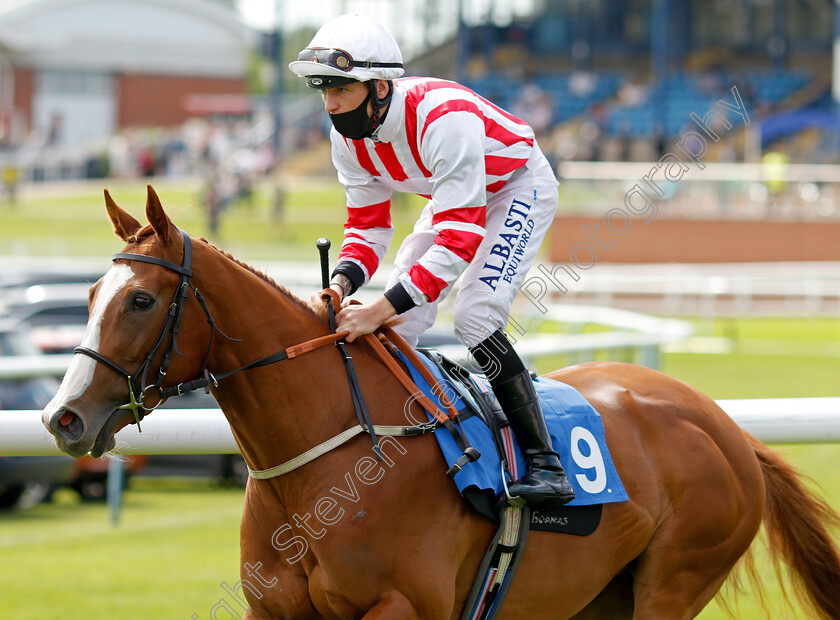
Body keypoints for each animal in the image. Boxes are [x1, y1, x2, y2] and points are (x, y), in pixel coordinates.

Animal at [44, 186, 840, 616]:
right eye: (90, 293)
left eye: (142, 300)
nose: (63, 418)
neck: (327, 460)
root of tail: (727, 427)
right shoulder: (270, 608)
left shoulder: (405, 605)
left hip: (675, 580)